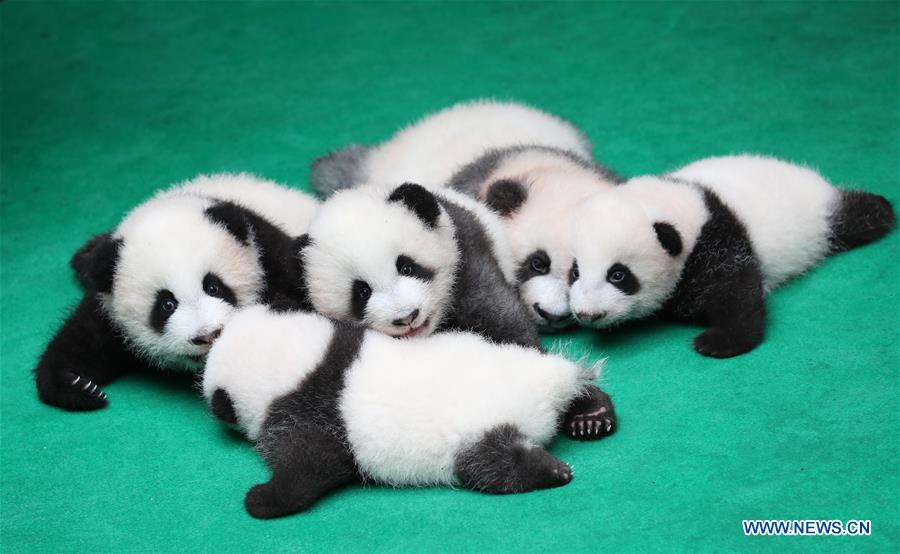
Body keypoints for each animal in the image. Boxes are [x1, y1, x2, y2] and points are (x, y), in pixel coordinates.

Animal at [34, 173, 319, 411]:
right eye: (166, 304)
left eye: (214, 287)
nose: (207, 335)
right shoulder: (107, 302)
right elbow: (82, 340)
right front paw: (78, 385)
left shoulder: (267, 253)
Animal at [202, 305, 600, 518]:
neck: (303, 363)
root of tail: (547, 386)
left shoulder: (309, 413)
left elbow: (310, 465)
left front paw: (261, 498)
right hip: (506, 354)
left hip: (477, 433)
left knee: (495, 467)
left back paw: (552, 470)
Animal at [300, 181, 616, 440]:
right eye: (362, 292)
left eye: (406, 266)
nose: (406, 317)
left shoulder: (464, 257)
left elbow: (504, 321)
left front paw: (585, 407)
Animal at [567, 155, 896, 358]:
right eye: (575, 272)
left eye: (618, 275)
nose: (587, 314)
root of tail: (813, 179)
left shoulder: (715, 240)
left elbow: (737, 289)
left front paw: (719, 341)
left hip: (821, 219)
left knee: (857, 216)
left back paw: (880, 210)